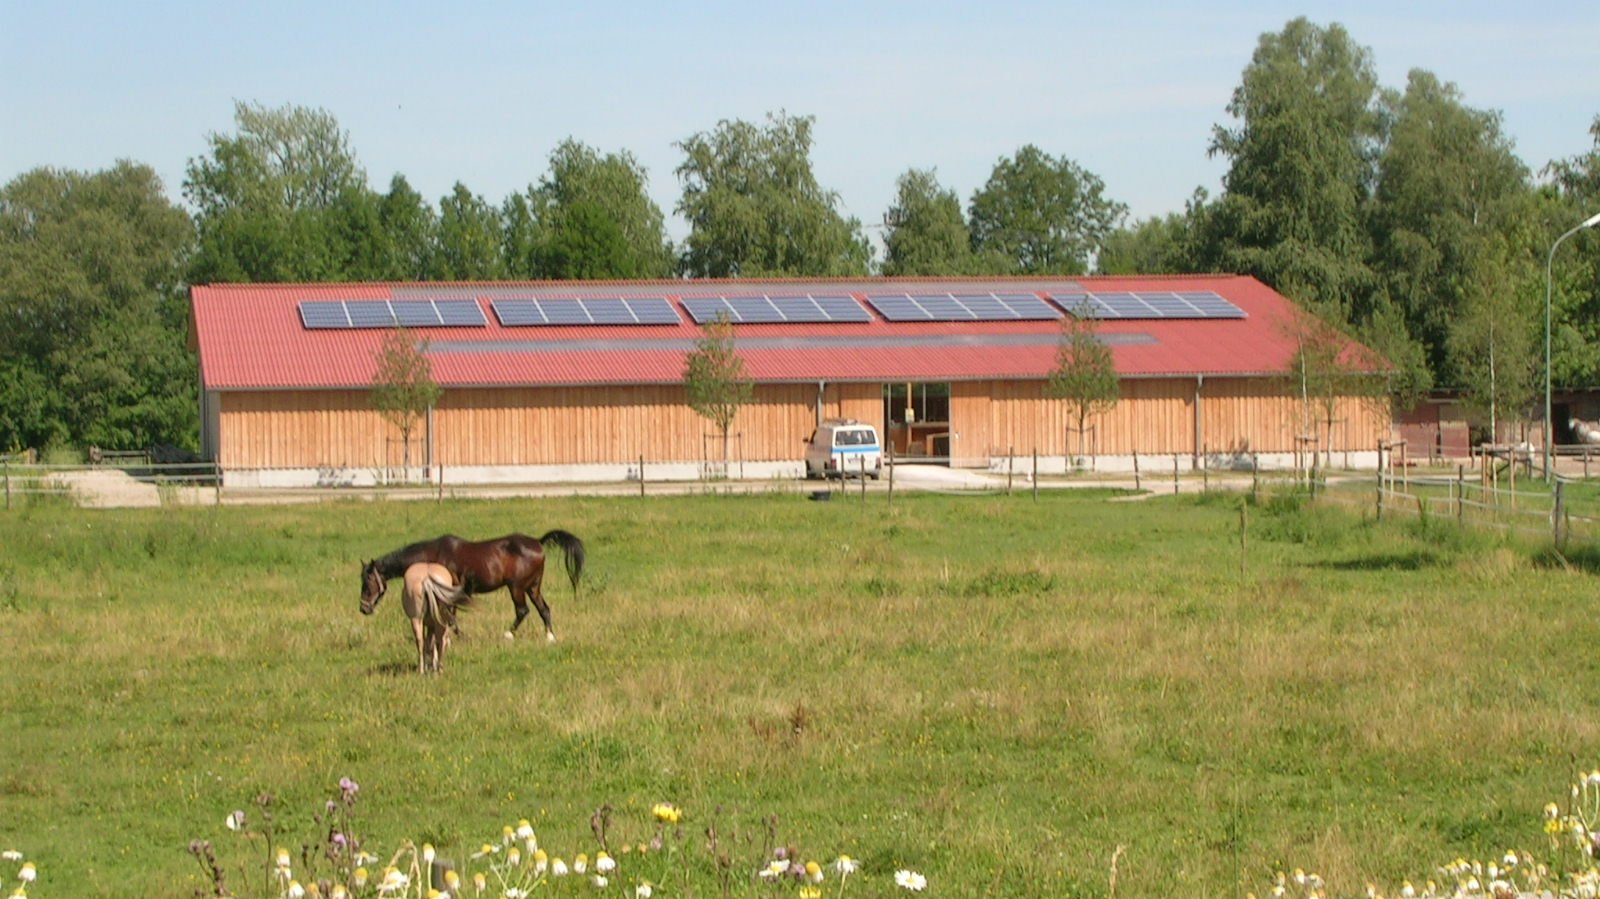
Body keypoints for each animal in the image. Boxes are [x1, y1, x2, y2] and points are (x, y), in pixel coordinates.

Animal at [360, 527, 585, 639]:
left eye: (368, 582)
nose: (364, 608)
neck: (435, 555)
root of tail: (538, 542)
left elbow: (451, 616)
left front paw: (460, 636)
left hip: (517, 587)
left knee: (523, 611)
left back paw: (508, 634)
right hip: (533, 587)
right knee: (544, 609)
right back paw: (550, 636)